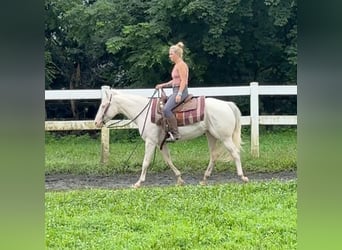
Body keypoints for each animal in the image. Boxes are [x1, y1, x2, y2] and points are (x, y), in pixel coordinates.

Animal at [94, 86, 248, 188]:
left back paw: (243, 177)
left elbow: (146, 162)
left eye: (103, 105)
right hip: (211, 136)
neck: (144, 112)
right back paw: (204, 179)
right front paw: (179, 179)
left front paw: (138, 183)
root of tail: (227, 104)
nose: (96, 122)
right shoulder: (161, 143)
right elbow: (168, 160)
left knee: (235, 153)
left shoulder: (150, 142)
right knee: (214, 156)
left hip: (225, 137)